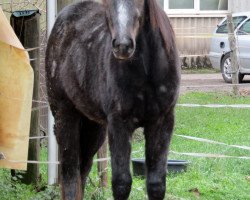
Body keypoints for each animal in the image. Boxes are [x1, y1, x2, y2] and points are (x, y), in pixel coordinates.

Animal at [46, 0, 180, 198]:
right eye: (107, 2)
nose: (122, 45)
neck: (147, 73)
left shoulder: (162, 122)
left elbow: (156, 184)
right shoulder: (119, 123)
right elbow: (122, 183)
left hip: (94, 127)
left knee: (82, 172)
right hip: (65, 115)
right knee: (70, 174)